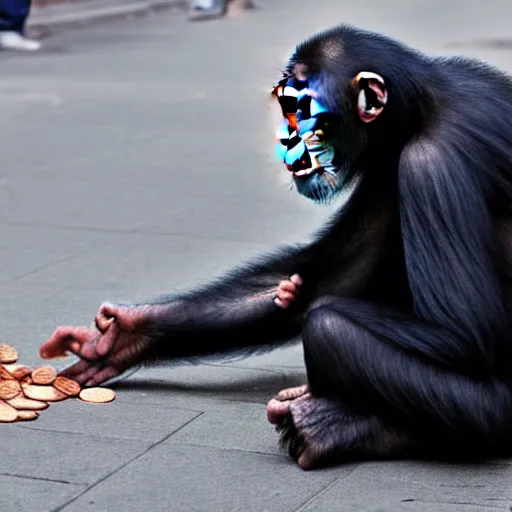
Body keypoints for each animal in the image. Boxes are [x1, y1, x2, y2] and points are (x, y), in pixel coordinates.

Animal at [40, 26, 512, 470]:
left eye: (299, 108)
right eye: (287, 107)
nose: (286, 138)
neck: (417, 109)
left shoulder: (430, 163)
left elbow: (457, 331)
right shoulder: (383, 165)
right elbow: (344, 270)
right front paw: (123, 335)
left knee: (328, 326)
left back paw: (333, 424)